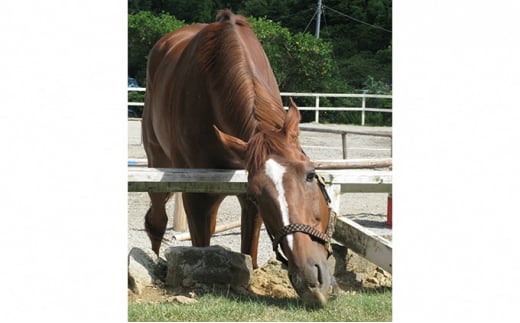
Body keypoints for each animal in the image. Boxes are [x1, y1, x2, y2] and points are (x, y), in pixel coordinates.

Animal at [142, 9, 338, 308]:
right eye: (259, 194)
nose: (311, 279)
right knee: (156, 221)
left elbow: (250, 255)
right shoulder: (197, 196)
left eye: (310, 175)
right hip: (156, 162)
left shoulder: (246, 203)